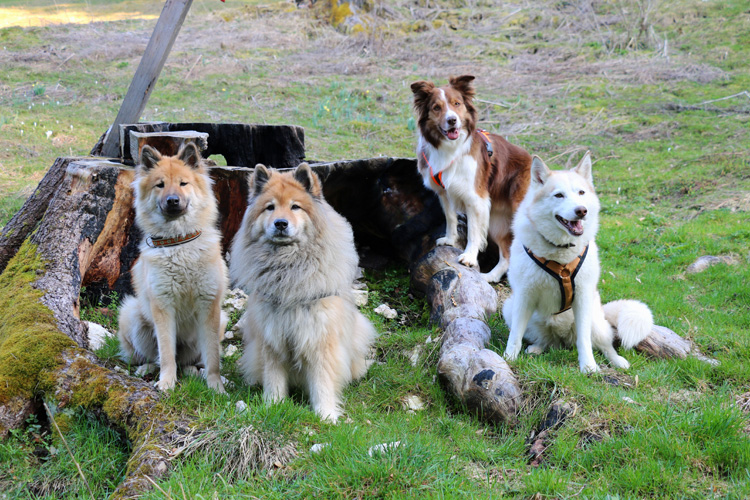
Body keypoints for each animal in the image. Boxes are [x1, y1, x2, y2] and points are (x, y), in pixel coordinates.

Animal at [414, 76, 532, 284]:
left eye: (457, 104)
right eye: (436, 107)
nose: (452, 120)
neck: (450, 148)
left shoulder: (475, 199)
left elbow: (473, 231)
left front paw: (469, 257)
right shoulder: (444, 192)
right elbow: (450, 217)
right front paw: (449, 239)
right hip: (497, 223)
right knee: (507, 254)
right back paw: (491, 276)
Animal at [502, 152, 656, 372]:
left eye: (581, 192)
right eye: (559, 195)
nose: (581, 210)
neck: (560, 250)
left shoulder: (582, 298)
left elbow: (584, 340)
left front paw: (589, 367)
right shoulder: (524, 295)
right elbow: (515, 335)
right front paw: (509, 358)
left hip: (595, 320)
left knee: (605, 344)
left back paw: (617, 361)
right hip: (510, 308)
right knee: (547, 341)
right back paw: (537, 348)